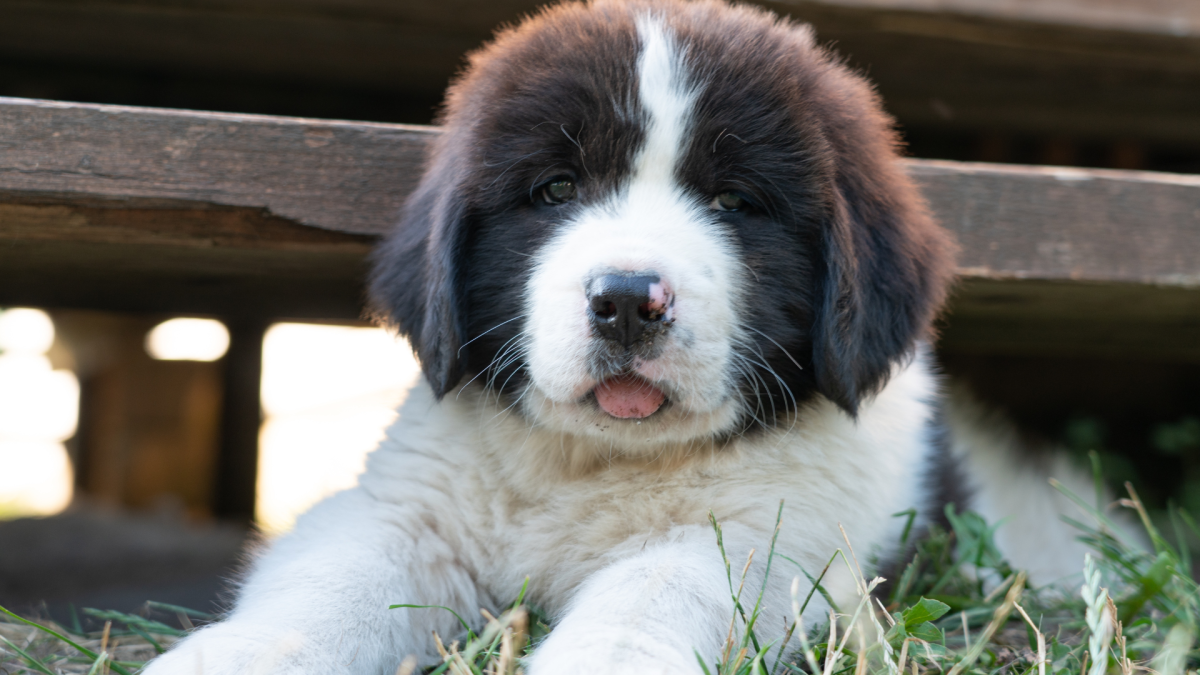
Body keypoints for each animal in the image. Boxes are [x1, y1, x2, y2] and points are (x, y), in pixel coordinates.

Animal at [145, 2, 1094, 667]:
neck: (596, 461)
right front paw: (226, 658)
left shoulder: (765, 543)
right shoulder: (410, 510)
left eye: (735, 202)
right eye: (556, 190)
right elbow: (327, 585)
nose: (630, 300)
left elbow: (651, 596)